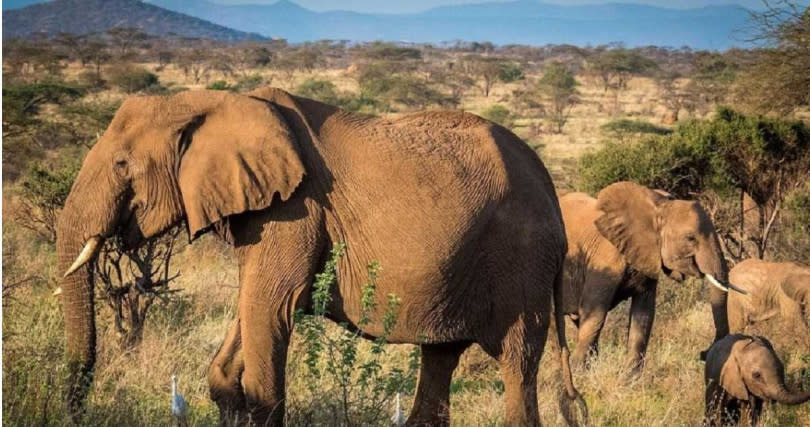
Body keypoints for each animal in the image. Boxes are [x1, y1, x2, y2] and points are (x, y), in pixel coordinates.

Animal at [55, 88, 580, 427]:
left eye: (123, 164)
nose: (75, 411)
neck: (213, 101)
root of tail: (552, 190)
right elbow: (246, 320)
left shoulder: (296, 208)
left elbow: (270, 306)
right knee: (441, 357)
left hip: (523, 261)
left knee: (517, 361)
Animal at [560, 182, 740, 372]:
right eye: (690, 238)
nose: (703, 354)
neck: (657, 208)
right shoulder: (605, 258)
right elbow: (595, 311)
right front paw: (579, 371)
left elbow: (644, 314)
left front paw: (630, 376)